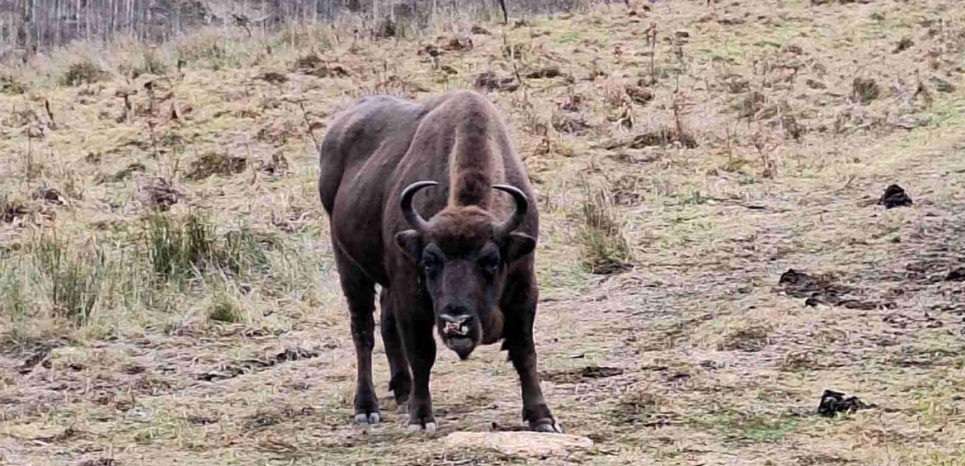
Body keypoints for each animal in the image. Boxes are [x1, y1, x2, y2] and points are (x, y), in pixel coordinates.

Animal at [318, 90, 556, 434]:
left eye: (491, 260)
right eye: (430, 260)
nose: (456, 321)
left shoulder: (525, 287)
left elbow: (525, 352)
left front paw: (542, 417)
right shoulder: (411, 293)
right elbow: (422, 353)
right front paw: (420, 417)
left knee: (386, 322)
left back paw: (402, 389)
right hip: (349, 266)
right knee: (363, 330)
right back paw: (367, 406)